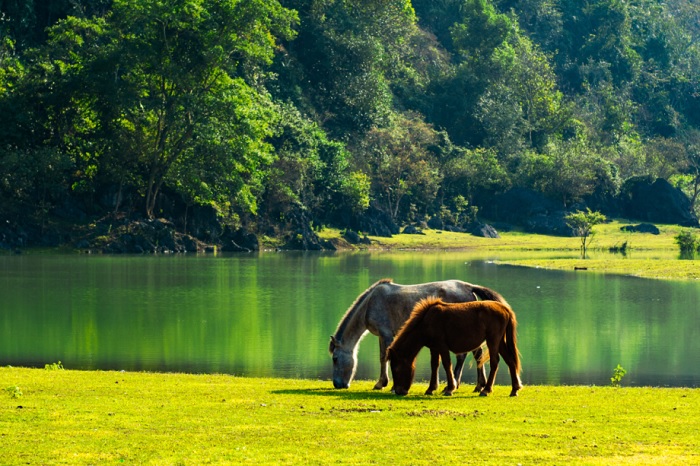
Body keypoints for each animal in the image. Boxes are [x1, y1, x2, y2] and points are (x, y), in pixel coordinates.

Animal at [328, 278, 508, 392]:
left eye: (335, 359)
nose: (337, 384)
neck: (370, 303)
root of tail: (468, 286)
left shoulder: (386, 334)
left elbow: (383, 357)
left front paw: (383, 384)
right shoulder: (381, 336)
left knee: (463, 356)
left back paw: (455, 384)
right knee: (477, 354)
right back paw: (478, 385)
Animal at [386, 298, 524, 396]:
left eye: (396, 368)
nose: (399, 391)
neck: (426, 322)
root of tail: (505, 309)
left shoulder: (442, 347)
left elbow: (447, 365)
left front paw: (449, 389)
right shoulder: (434, 348)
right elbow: (434, 365)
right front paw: (431, 389)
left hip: (493, 341)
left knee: (495, 362)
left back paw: (486, 390)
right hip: (500, 342)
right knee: (510, 361)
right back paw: (514, 390)